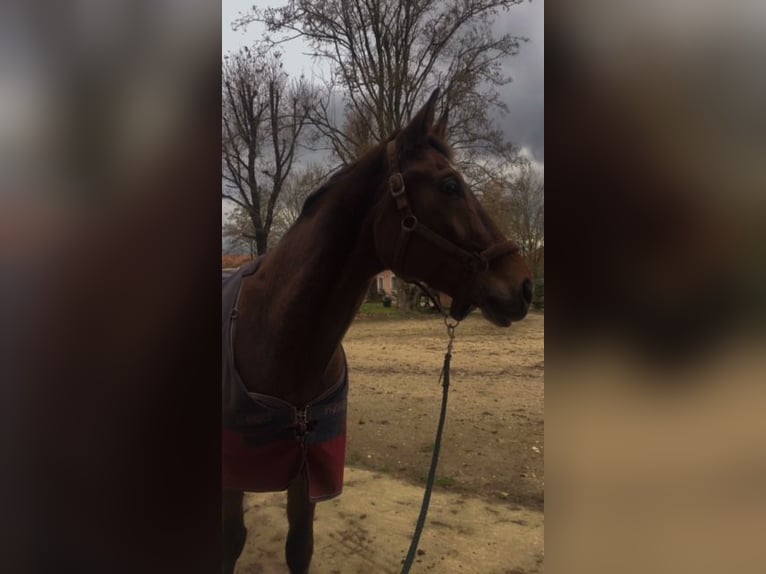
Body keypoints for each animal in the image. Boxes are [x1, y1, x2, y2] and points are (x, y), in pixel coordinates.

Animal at [222, 88, 536, 572]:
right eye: (450, 185)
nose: (525, 285)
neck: (279, 337)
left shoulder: (307, 468)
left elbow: (300, 547)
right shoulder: (234, 474)